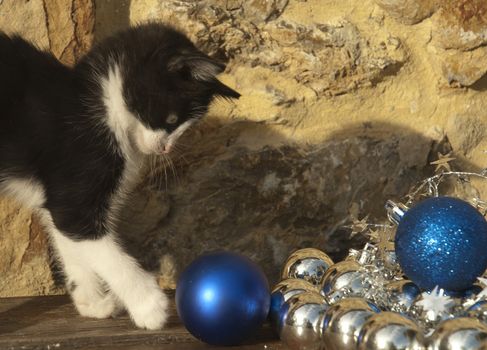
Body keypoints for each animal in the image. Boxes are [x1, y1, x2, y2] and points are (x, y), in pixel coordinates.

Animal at [0, 23, 240, 330]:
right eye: (172, 120)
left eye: (184, 127)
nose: (166, 149)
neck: (102, 105)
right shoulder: (77, 187)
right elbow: (102, 249)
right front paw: (149, 306)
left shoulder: (59, 196)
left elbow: (70, 242)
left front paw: (91, 302)